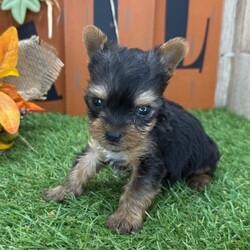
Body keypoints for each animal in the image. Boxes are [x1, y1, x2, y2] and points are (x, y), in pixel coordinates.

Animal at [42, 24, 219, 233]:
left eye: (143, 110)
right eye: (97, 101)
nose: (112, 135)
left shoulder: (150, 161)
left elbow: (137, 189)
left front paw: (125, 218)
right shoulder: (96, 146)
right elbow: (80, 168)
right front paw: (62, 190)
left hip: (206, 151)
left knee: (208, 168)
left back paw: (200, 180)